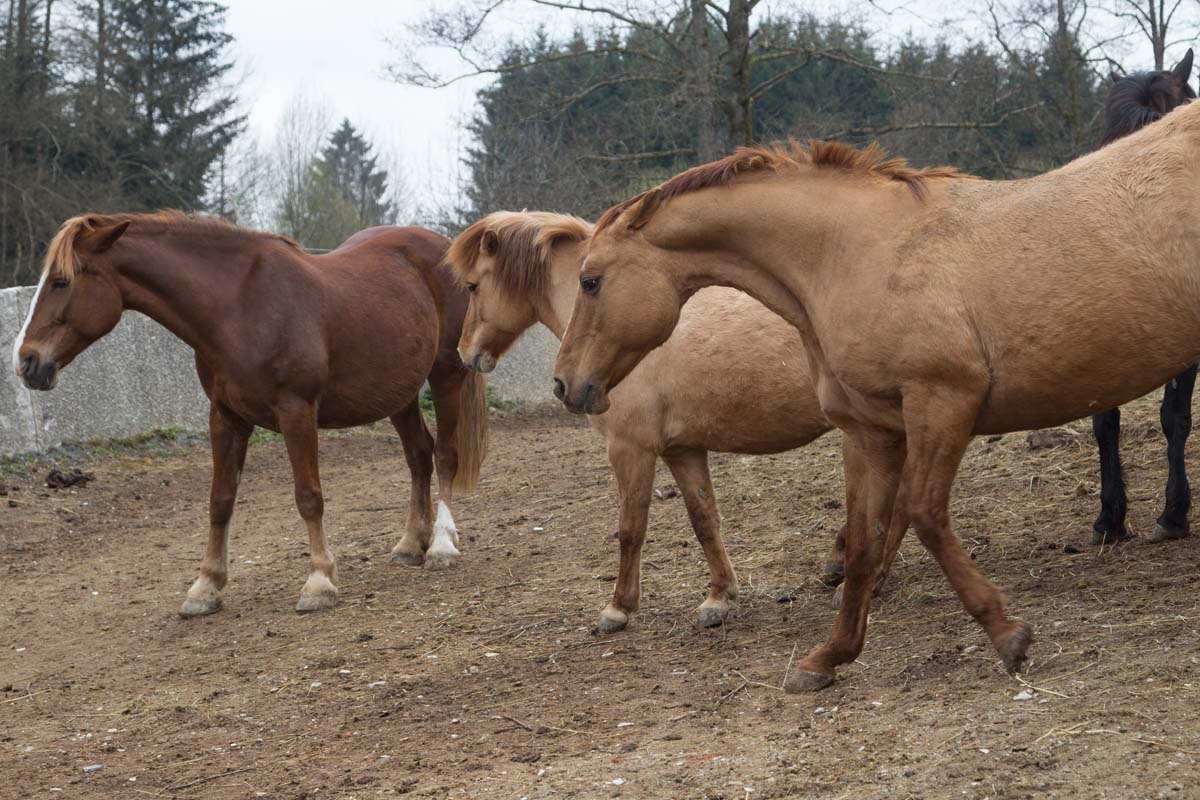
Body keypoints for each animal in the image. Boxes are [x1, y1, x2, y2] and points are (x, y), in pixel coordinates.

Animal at [13, 212, 488, 615]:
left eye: (61, 281)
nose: (26, 361)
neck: (237, 308)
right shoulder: (225, 417)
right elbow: (220, 500)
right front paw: (205, 587)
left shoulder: (296, 411)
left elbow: (308, 496)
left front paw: (319, 582)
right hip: (398, 395)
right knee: (418, 456)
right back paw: (410, 544)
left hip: (446, 375)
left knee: (444, 455)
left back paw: (441, 546)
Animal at [447, 211, 838, 632]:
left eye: (472, 286)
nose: (465, 352)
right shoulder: (682, 450)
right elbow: (704, 519)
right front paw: (719, 598)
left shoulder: (629, 449)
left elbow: (631, 529)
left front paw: (619, 607)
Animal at [553, 103, 1200, 692]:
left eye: (591, 280)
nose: (564, 384)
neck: (852, 252)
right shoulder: (874, 431)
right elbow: (864, 540)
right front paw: (828, 657)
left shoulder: (942, 401)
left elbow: (924, 514)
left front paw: (1006, 633)